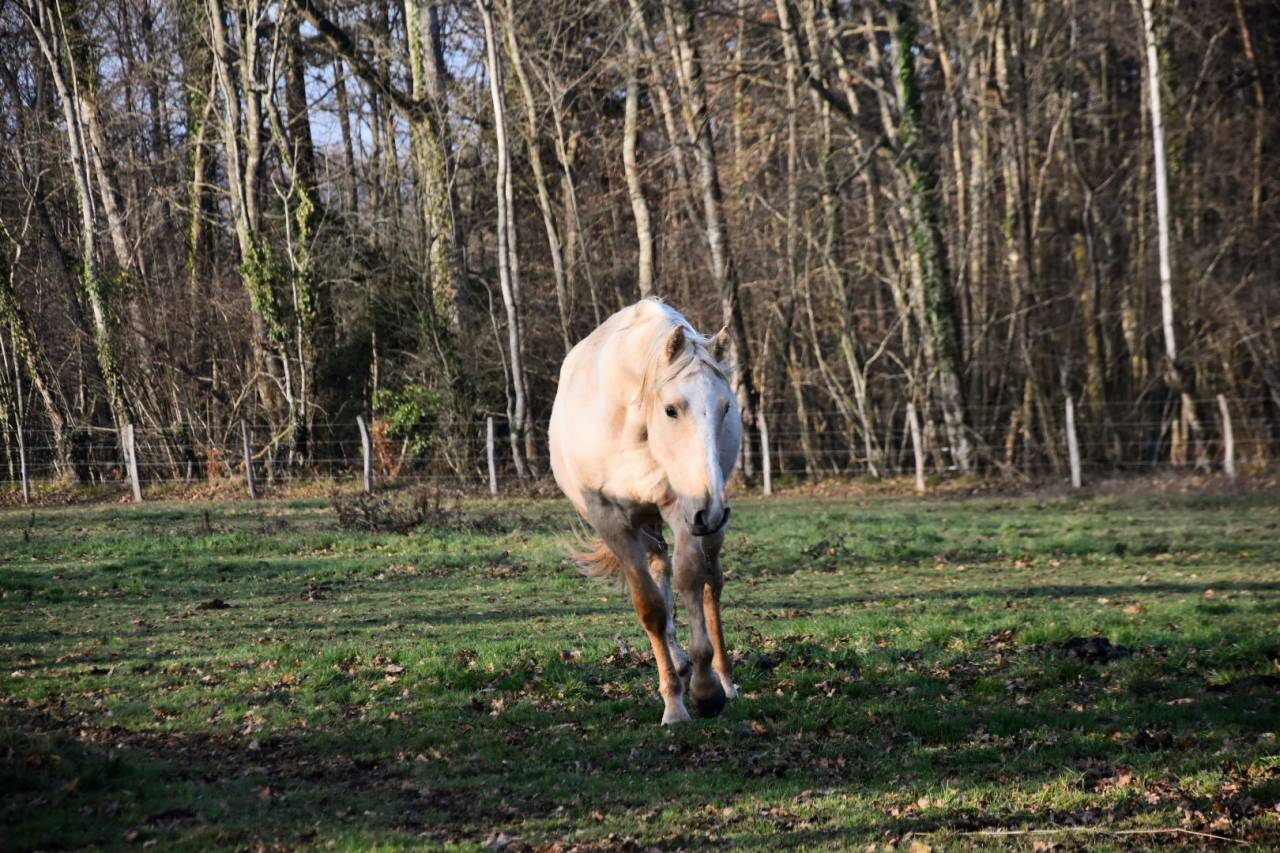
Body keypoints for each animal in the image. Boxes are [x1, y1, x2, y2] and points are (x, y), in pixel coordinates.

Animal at [549, 298, 742, 724]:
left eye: (725, 408)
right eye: (671, 409)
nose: (712, 510)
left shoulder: (685, 510)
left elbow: (691, 580)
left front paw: (706, 691)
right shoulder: (612, 521)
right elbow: (651, 605)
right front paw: (674, 704)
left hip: (705, 525)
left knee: (711, 586)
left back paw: (724, 680)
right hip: (651, 525)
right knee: (660, 573)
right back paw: (679, 664)